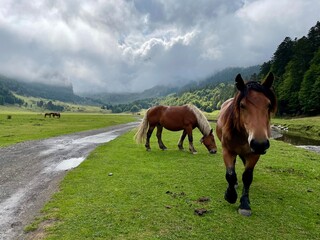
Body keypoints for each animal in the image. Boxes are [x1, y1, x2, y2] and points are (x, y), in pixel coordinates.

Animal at [216, 72, 276, 217]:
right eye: (242, 105)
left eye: (268, 104)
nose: (260, 144)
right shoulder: (227, 151)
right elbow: (230, 175)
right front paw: (230, 195)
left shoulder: (254, 154)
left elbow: (247, 177)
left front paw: (244, 204)